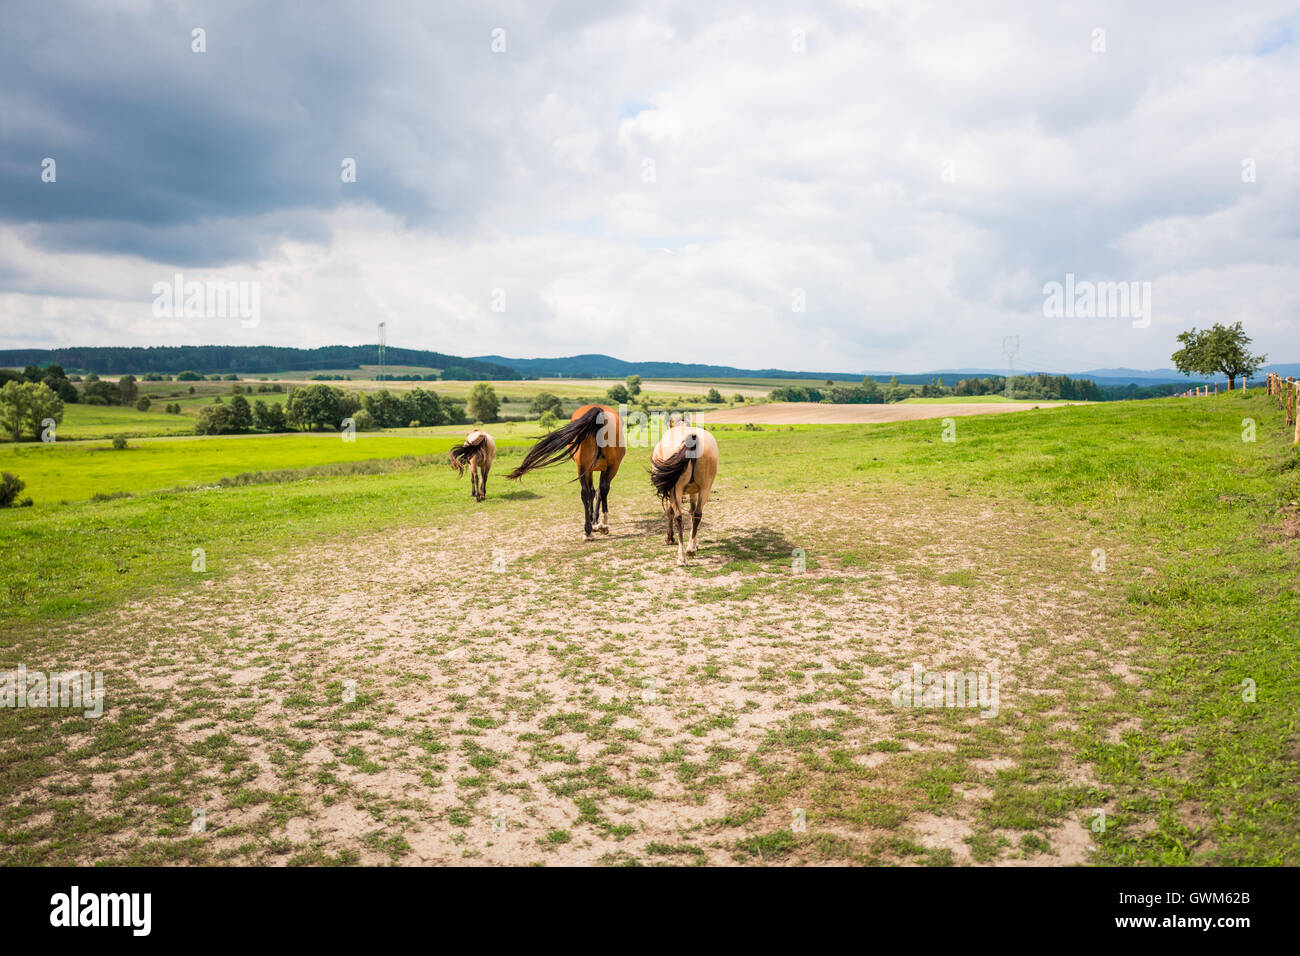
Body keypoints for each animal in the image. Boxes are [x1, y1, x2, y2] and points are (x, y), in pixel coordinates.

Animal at [506, 404, 625, 539]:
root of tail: (599, 412)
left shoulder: (591, 469)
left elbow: (593, 491)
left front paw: (593, 522)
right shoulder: (599, 469)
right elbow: (598, 491)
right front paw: (596, 522)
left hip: (583, 467)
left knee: (586, 492)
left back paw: (588, 530)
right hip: (608, 467)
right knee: (601, 489)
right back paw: (603, 525)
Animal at [650, 422, 719, 565]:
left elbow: (670, 512)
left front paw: (669, 537)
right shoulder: (695, 491)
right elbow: (692, 512)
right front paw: (695, 543)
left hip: (675, 489)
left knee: (678, 516)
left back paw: (681, 556)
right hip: (705, 488)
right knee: (697, 514)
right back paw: (691, 549)